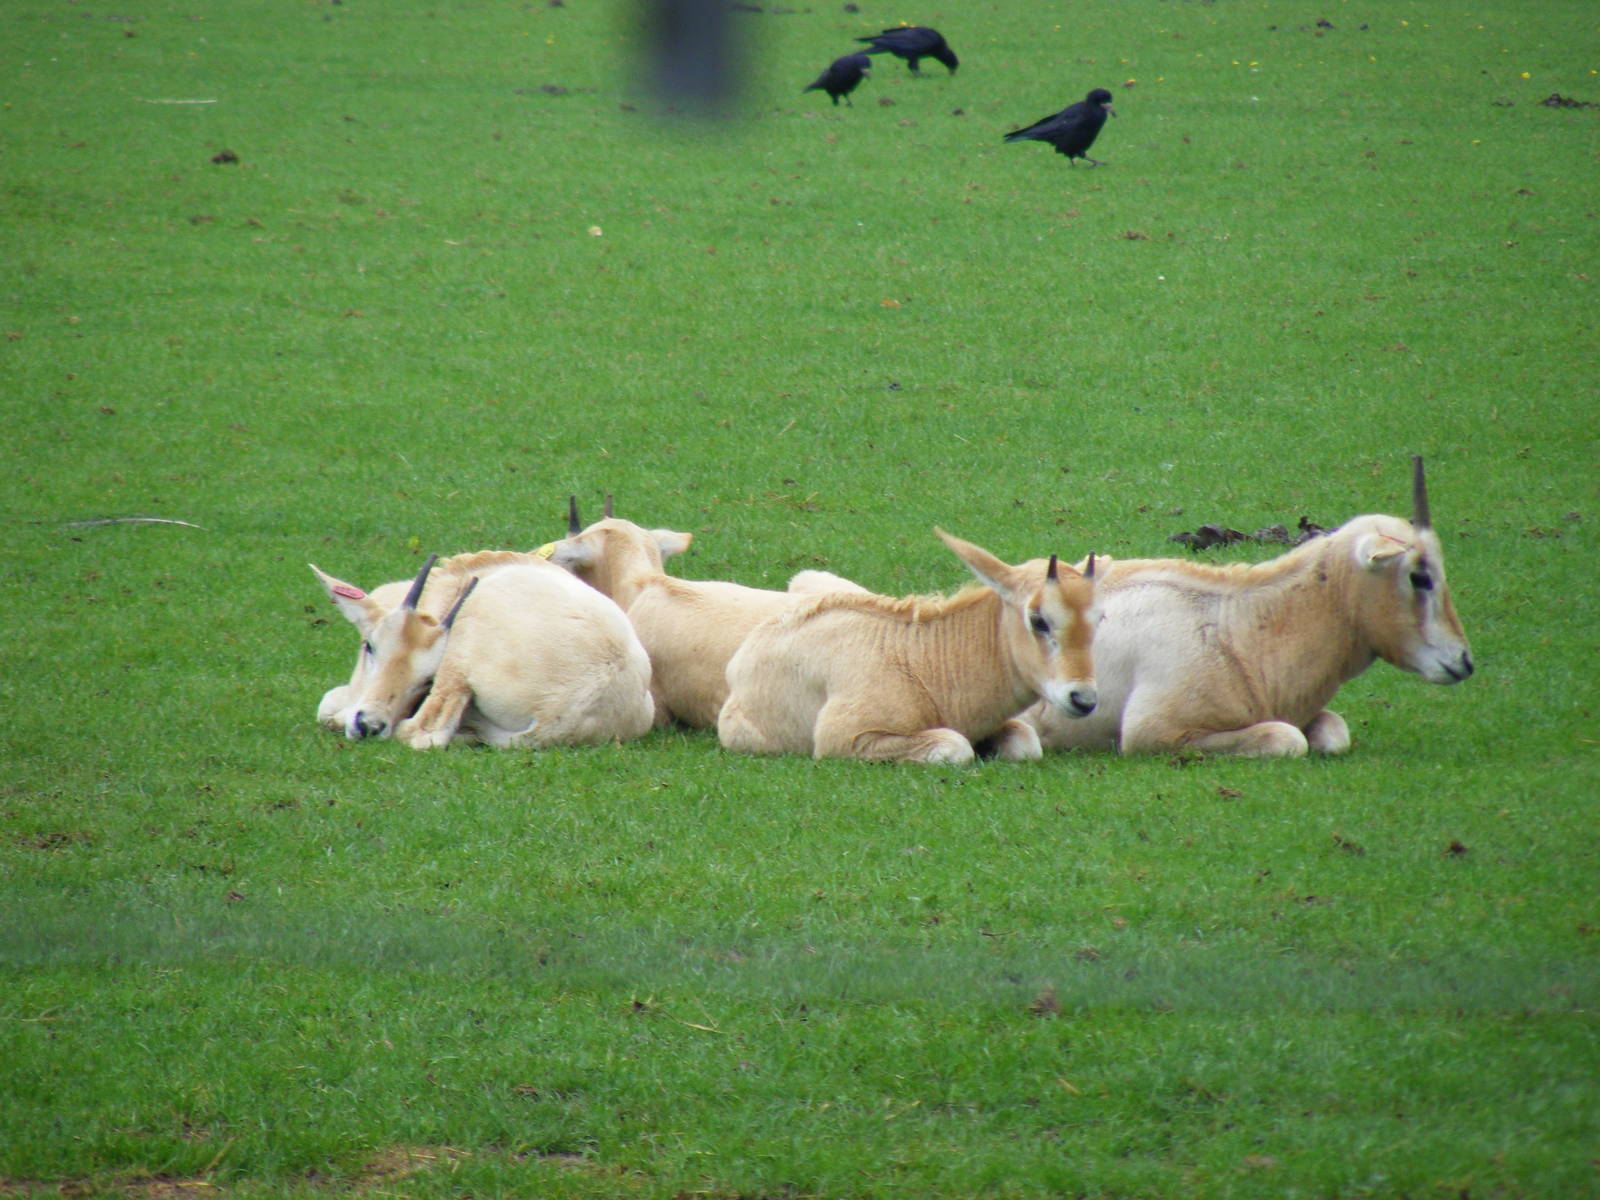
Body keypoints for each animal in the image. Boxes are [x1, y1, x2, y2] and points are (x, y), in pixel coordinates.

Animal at [716, 528, 1099, 764]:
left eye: (1098, 618)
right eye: (1038, 619)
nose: (1083, 699)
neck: (922, 661)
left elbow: (1026, 744)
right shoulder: (846, 738)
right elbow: (955, 745)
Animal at [1021, 456, 1474, 757]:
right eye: (1420, 576)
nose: (1463, 662)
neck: (1235, 630)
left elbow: (1334, 732)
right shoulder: (1151, 732)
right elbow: (1286, 738)